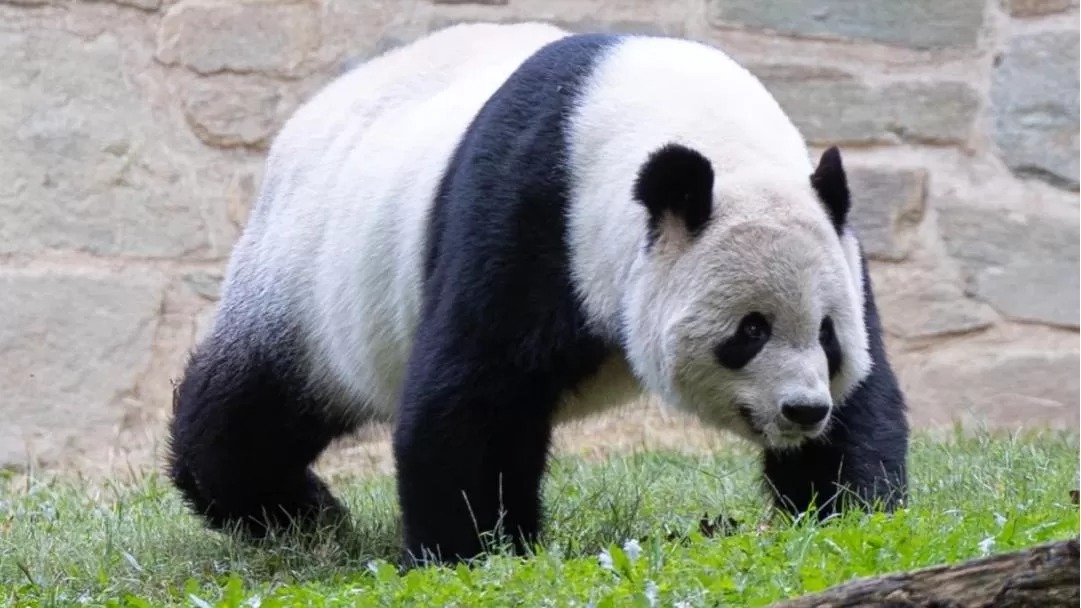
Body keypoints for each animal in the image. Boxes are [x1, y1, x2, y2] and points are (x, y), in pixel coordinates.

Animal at [166, 21, 909, 565]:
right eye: (749, 331)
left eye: (827, 334)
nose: (803, 411)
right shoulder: (531, 211)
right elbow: (474, 391)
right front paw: (470, 547)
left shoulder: (835, 239)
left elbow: (867, 399)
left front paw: (843, 505)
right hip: (304, 283)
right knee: (248, 411)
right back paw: (296, 511)